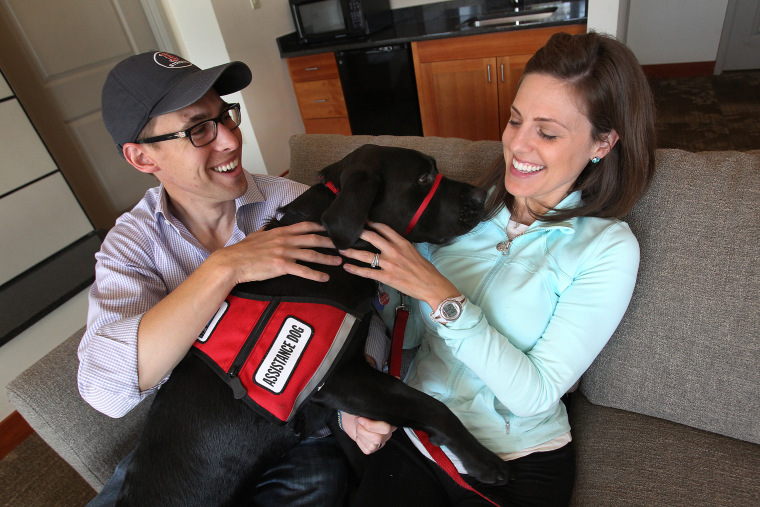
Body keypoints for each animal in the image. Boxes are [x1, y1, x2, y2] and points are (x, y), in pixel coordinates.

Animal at [117, 145, 510, 506]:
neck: (331, 252)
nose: (482, 196)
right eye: (424, 177)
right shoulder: (337, 379)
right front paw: (484, 461)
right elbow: (432, 407)